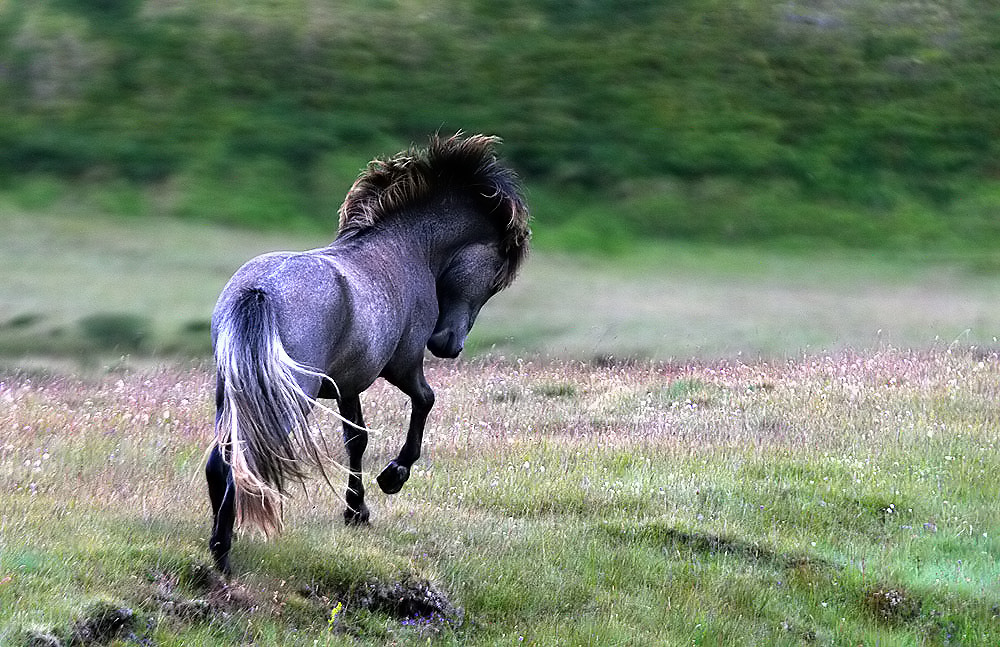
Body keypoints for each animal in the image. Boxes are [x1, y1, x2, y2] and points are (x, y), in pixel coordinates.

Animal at [204, 133, 532, 576]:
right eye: (496, 275)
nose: (449, 345)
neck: (408, 249)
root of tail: (259, 292)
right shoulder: (403, 365)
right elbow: (425, 401)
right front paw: (393, 475)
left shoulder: (348, 384)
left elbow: (355, 438)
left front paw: (356, 509)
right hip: (289, 401)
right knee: (241, 461)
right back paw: (224, 551)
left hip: (231, 395)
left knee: (220, 461)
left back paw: (222, 545)